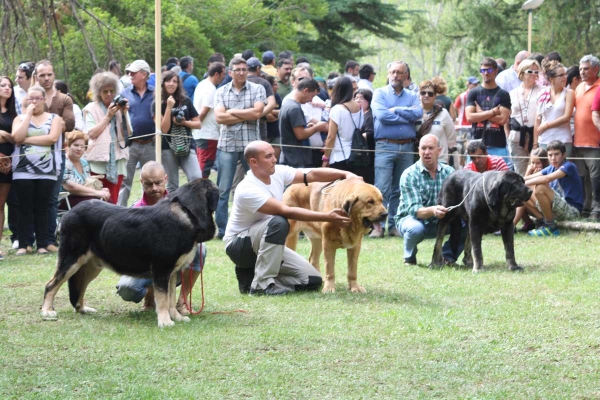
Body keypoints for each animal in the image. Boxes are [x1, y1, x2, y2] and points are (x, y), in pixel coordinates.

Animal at [41, 179, 218, 328]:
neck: (187, 212)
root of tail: (68, 214)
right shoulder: (162, 270)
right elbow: (162, 299)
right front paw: (165, 321)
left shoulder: (172, 273)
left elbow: (171, 298)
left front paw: (176, 316)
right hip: (71, 260)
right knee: (51, 285)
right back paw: (47, 311)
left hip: (91, 266)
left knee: (79, 287)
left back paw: (83, 308)